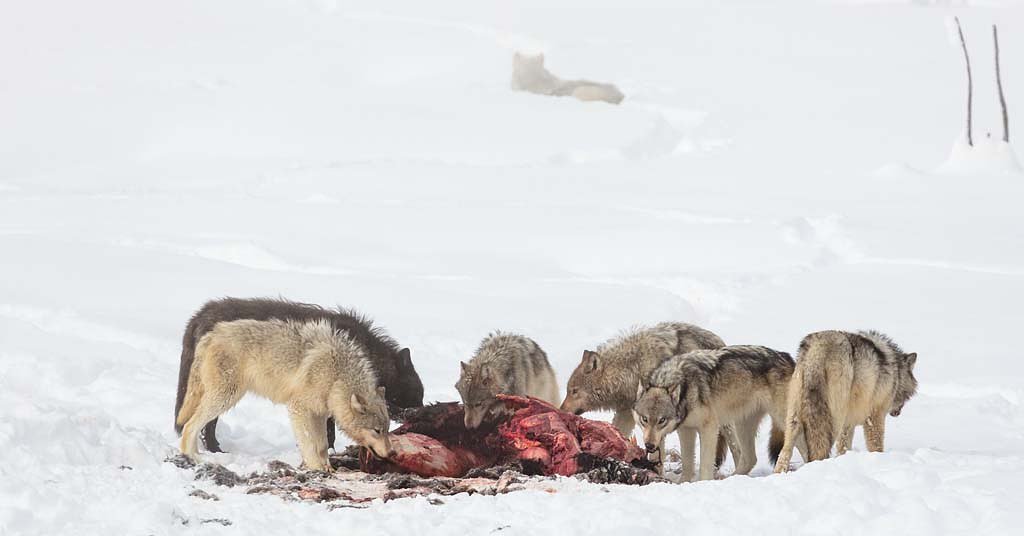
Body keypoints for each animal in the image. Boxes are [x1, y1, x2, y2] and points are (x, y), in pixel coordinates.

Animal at [174, 297, 422, 453]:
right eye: (415, 396)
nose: (418, 413)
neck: (365, 349)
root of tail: (198, 316)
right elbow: (327, 433)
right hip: (226, 390)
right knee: (205, 422)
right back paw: (215, 449)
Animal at [176, 318, 394, 471]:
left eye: (386, 429)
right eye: (376, 431)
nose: (391, 452)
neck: (336, 376)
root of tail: (211, 334)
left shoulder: (319, 414)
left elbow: (322, 445)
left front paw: (328, 467)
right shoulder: (299, 408)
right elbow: (309, 443)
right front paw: (317, 468)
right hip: (225, 398)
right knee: (189, 425)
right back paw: (192, 457)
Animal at [559, 322, 735, 480]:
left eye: (574, 391)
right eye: (568, 391)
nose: (561, 410)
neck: (632, 369)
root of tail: (720, 341)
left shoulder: (657, 418)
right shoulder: (628, 413)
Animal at [634, 345, 796, 481]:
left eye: (662, 420)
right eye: (644, 419)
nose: (649, 445)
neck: (686, 387)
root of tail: (787, 357)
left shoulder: (709, 428)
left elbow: (705, 464)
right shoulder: (686, 430)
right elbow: (687, 463)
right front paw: (683, 483)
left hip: (781, 420)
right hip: (742, 425)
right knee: (750, 459)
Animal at [773, 330, 918, 473]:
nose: (897, 413)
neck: (896, 372)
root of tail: (818, 348)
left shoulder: (848, 424)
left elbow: (843, 448)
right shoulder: (874, 416)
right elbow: (876, 445)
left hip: (793, 419)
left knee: (784, 453)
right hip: (833, 420)